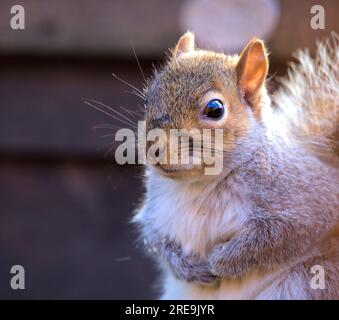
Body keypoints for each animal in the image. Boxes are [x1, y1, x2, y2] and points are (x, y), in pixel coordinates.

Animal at [133, 31, 339, 298]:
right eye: (147, 100)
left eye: (215, 109)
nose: (153, 147)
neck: (197, 183)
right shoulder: (156, 209)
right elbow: (155, 237)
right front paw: (188, 267)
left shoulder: (308, 201)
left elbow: (275, 239)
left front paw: (219, 261)